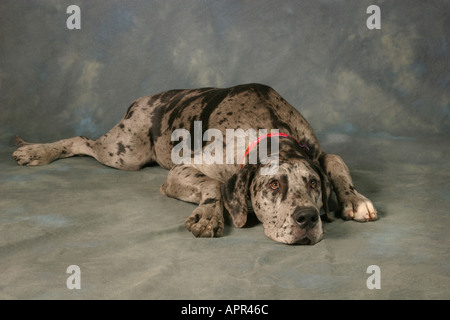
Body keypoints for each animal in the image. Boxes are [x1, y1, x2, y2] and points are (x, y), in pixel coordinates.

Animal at [11, 83, 376, 245]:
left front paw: (354, 199)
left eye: (313, 185)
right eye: (274, 185)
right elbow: (213, 183)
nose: (308, 218)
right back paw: (35, 151)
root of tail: (143, 99)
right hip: (124, 152)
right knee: (80, 141)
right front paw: (208, 215)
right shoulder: (180, 171)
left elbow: (335, 159)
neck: (270, 127)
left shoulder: (314, 152)